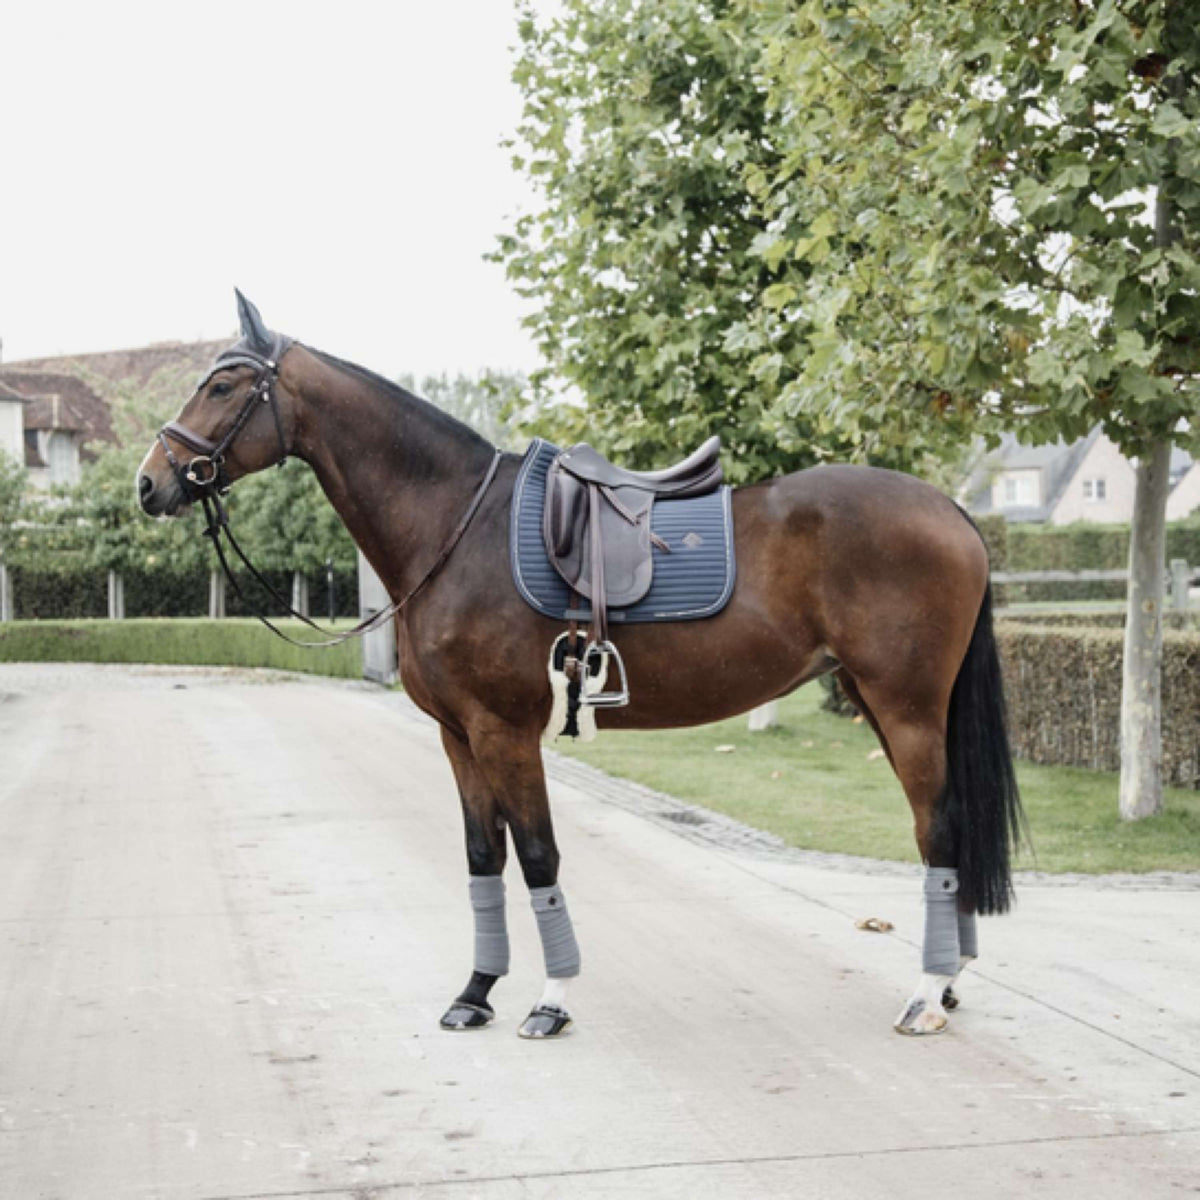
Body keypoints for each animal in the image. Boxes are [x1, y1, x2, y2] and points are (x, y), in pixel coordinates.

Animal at [140, 292, 1022, 1041]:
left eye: (222, 385)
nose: (149, 483)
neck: (455, 526)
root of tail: (950, 509)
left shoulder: (504, 732)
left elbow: (538, 856)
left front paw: (550, 1001)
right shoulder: (458, 737)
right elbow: (483, 858)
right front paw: (474, 994)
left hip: (904, 707)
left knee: (939, 827)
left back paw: (925, 996)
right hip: (882, 701)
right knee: (941, 828)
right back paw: (948, 980)